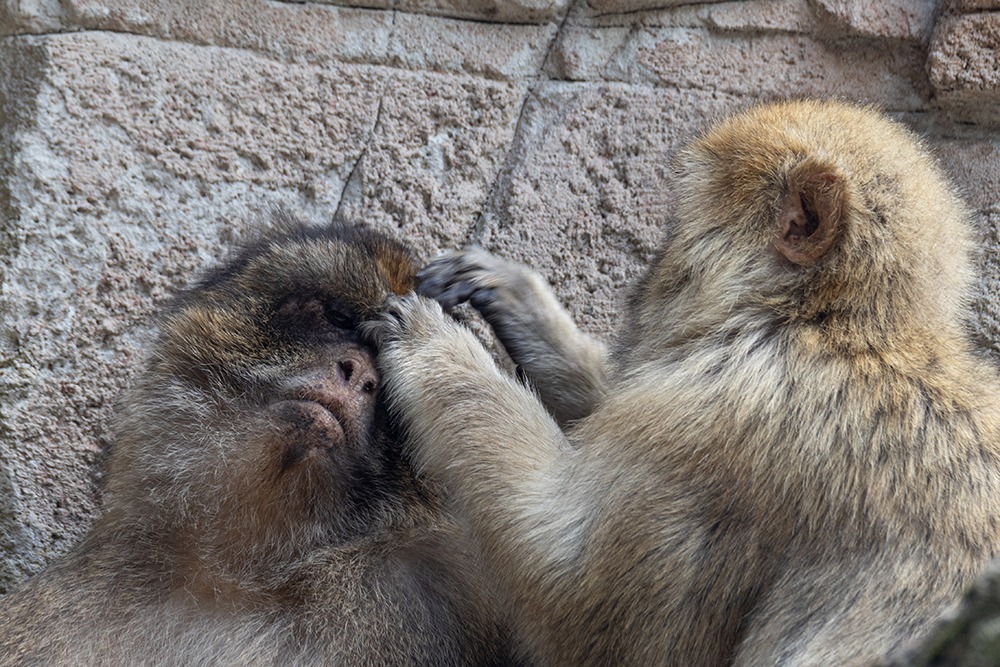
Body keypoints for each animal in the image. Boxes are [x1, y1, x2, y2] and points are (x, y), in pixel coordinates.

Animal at [372, 100, 1000, 667]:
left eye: (679, 223)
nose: (653, 262)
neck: (838, 324)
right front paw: (514, 296)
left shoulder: (727, 424)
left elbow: (583, 609)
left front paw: (435, 345)